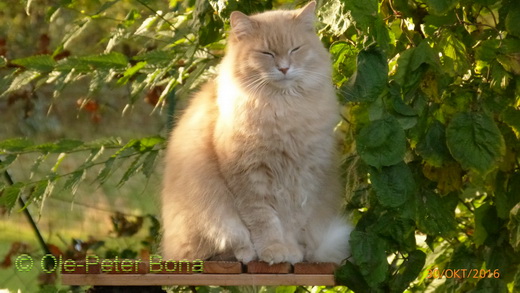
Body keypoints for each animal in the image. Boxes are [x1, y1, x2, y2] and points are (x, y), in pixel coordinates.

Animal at [160, 1, 352, 264]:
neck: (284, 110)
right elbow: (264, 222)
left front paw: (291, 252)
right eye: (267, 53)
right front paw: (274, 251)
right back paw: (245, 253)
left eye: (295, 49)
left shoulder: (302, 180)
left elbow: (291, 223)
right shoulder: (249, 178)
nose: (284, 68)